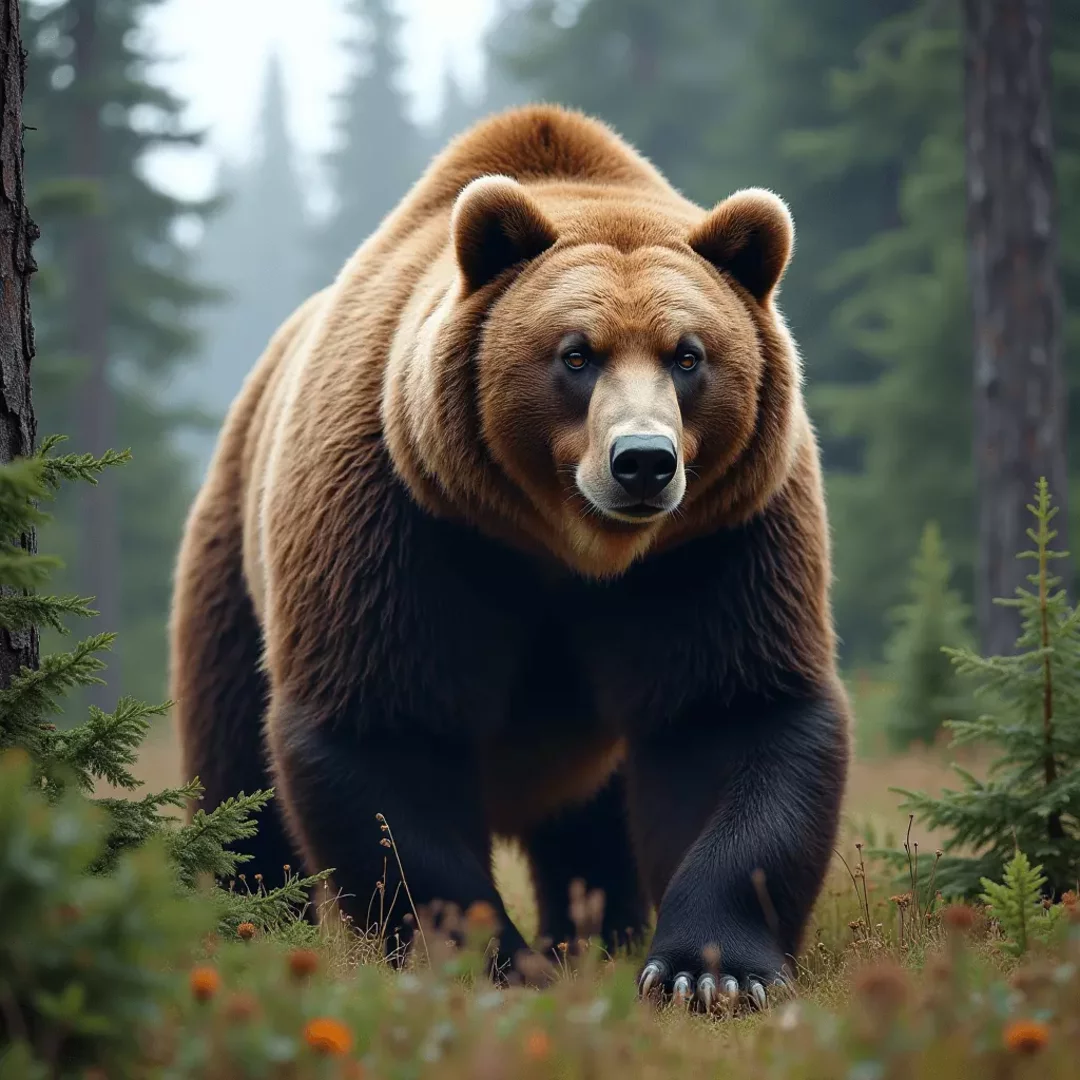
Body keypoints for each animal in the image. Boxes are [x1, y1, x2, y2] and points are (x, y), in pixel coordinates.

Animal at [169, 104, 850, 1011]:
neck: (569, 548)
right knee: (236, 772)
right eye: (576, 353)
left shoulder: (717, 541)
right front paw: (489, 959)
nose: (643, 461)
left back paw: (599, 929)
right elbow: (385, 732)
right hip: (233, 564)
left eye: (689, 354)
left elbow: (730, 713)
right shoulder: (405, 521)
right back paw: (254, 916)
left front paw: (707, 971)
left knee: (590, 822)